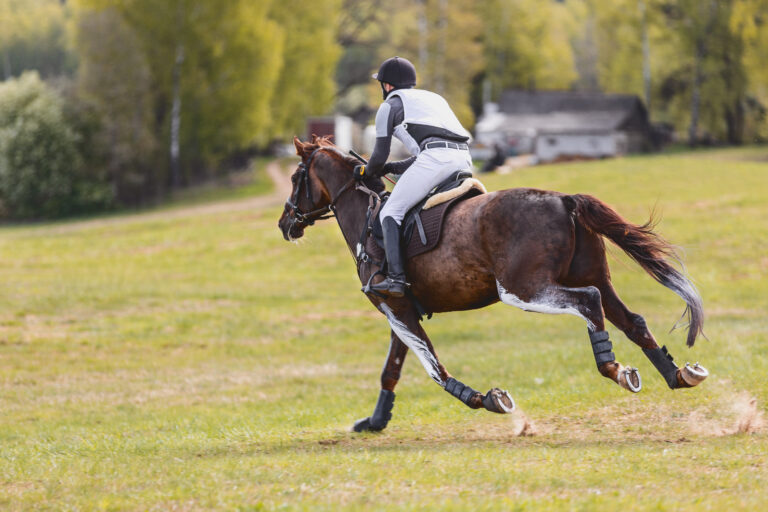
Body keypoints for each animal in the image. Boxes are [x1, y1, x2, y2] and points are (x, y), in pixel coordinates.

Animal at [277, 136, 709, 432]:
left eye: (297, 177)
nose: (285, 223)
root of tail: (564, 200)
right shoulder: (399, 308)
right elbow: (393, 368)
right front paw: (375, 421)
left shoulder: (394, 307)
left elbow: (434, 369)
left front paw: (486, 399)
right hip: (590, 275)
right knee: (631, 319)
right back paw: (676, 375)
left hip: (522, 289)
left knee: (588, 302)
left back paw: (613, 368)